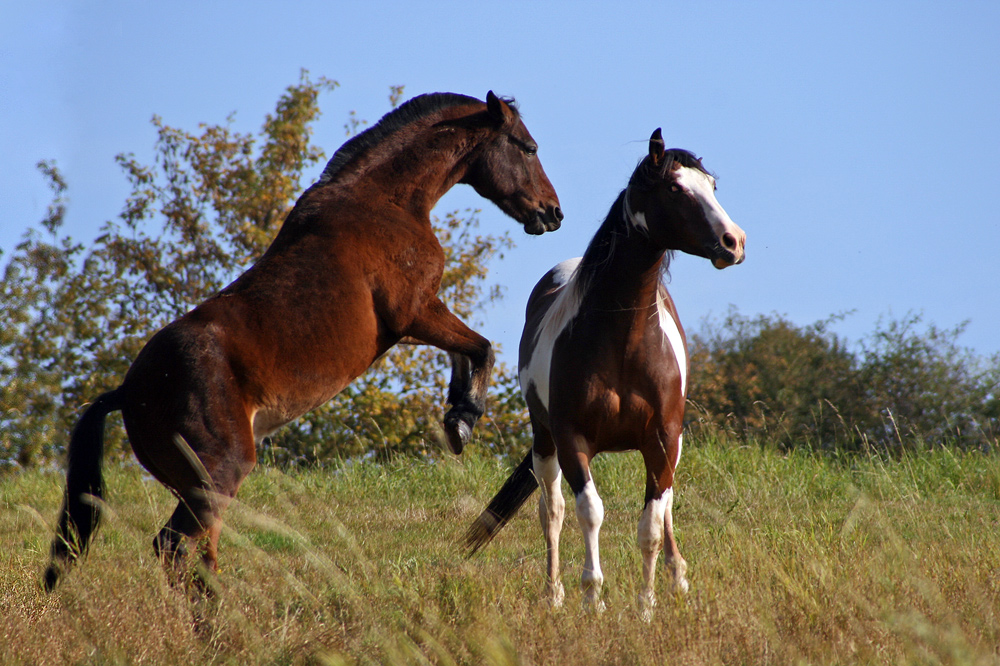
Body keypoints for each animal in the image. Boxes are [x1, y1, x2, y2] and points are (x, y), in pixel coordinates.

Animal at [45, 91, 564, 588]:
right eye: (528, 147)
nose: (553, 213)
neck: (383, 202)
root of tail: (128, 392)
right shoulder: (414, 312)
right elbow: (480, 347)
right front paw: (463, 420)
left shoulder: (416, 322)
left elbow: (464, 351)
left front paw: (456, 410)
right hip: (219, 472)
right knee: (175, 548)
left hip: (199, 486)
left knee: (198, 555)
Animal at [466, 130, 744, 612]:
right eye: (675, 188)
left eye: (712, 186)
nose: (734, 242)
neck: (624, 342)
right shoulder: (572, 440)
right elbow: (589, 512)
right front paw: (592, 598)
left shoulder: (663, 440)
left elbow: (651, 523)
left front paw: (647, 604)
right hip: (545, 441)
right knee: (552, 511)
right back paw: (554, 593)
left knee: (666, 507)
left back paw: (677, 579)